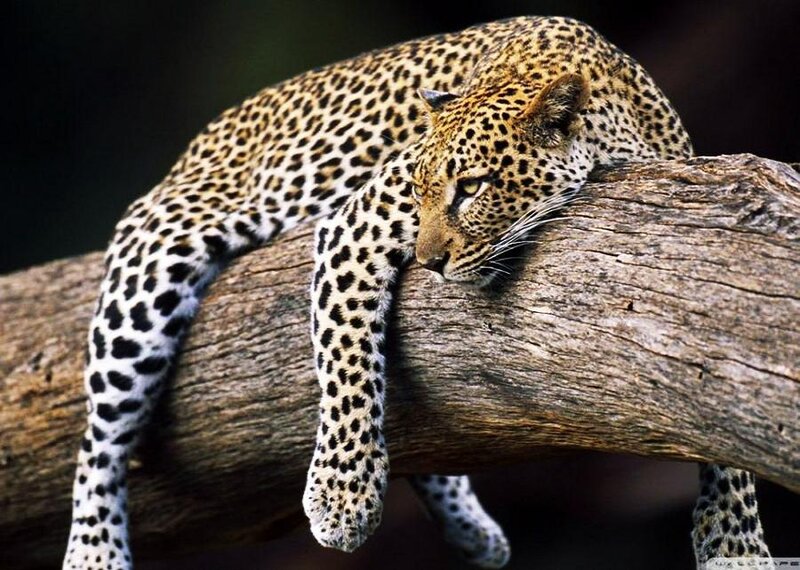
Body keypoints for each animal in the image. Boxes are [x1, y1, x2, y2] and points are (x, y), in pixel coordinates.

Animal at [62, 15, 770, 570]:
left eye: (472, 188)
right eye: (419, 191)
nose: (430, 263)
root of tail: (198, 141)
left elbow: (717, 404)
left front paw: (736, 544)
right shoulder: (356, 220)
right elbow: (348, 356)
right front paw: (342, 498)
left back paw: (474, 533)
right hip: (151, 269)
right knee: (100, 438)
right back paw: (93, 552)